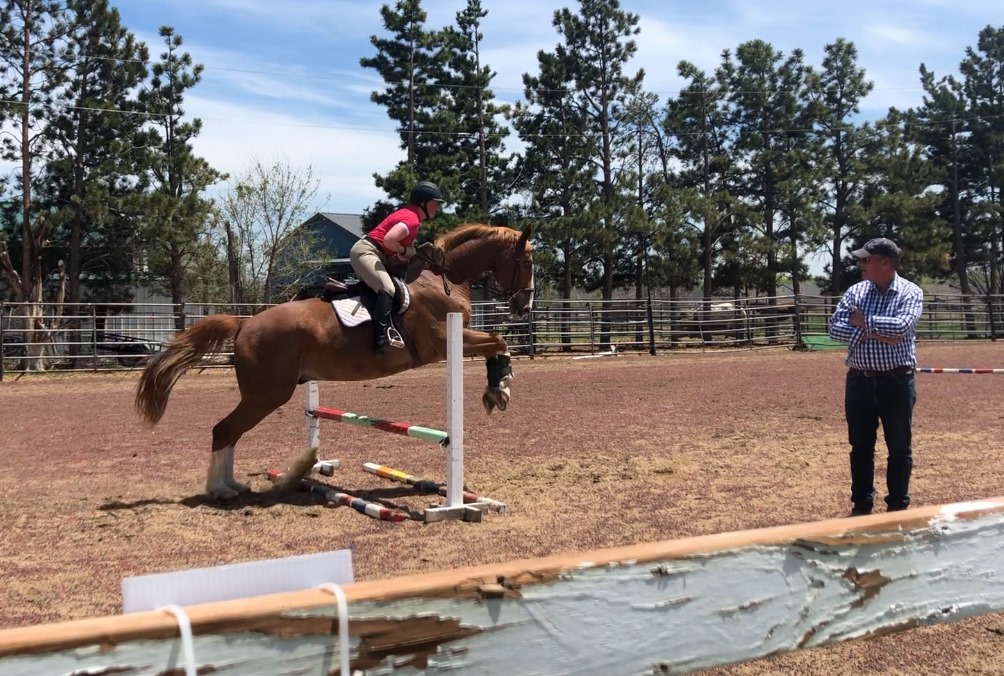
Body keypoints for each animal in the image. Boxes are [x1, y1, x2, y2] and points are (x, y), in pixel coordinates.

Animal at [139, 222, 542, 496]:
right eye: (527, 260)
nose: (525, 306)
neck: (442, 278)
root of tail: (244, 323)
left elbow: (497, 343)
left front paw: (498, 389)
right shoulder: (444, 343)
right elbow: (498, 341)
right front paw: (499, 390)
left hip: (266, 394)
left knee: (229, 432)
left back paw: (236, 484)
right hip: (266, 395)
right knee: (224, 430)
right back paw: (221, 489)